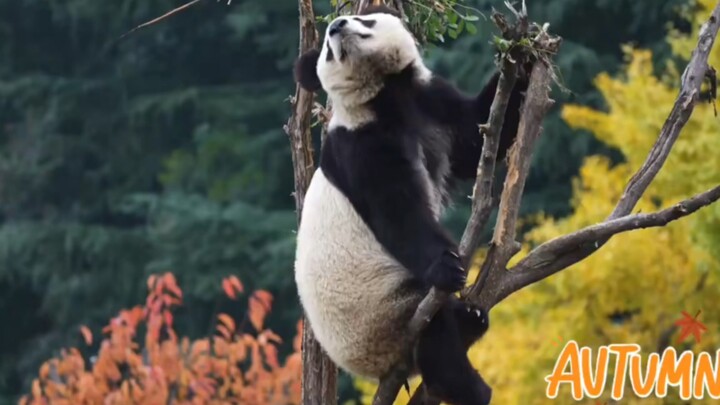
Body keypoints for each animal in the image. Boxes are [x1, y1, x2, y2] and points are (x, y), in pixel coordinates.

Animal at [292, 3, 528, 404]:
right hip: (384, 310)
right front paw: (447, 263)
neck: (384, 95)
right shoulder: (360, 145)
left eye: (365, 19)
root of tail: (375, 368)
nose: (338, 25)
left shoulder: (430, 101)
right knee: (434, 327)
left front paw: (525, 54)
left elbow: (474, 138)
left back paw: (471, 321)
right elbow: (396, 212)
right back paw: (467, 385)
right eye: (327, 51)